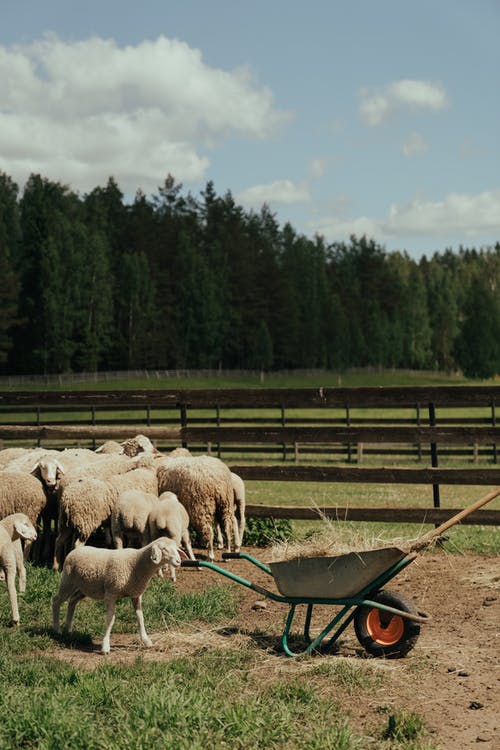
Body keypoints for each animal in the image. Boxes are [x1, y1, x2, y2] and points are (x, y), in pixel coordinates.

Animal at [51, 536, 185, 656]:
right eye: (164, 549)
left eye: (176, 548)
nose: (179, 561)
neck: (136, 563)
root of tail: (74, 550)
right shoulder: (111, 594)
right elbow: (110, 620)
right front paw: (105, 646)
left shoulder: (136, 595)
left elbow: (140, 618)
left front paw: (146, 641)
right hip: (68, 581)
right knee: (56, 600)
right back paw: (57, 629)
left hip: (85, 588)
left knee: (72, 601)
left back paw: (68, 629)